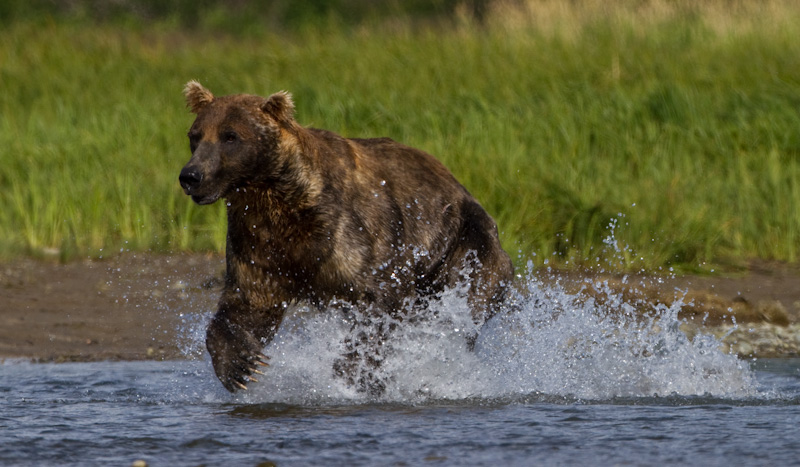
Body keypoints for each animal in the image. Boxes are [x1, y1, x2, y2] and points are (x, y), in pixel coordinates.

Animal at [178, 81, 512, 394]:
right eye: (195, 135)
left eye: (230, 136)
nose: (190, 176)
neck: (281, 201)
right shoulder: (259, 241)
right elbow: (249, 303)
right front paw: (241, 365)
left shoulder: (352, 235)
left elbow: (380, 299)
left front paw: (352, 371)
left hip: (466, 245)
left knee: (460, 309)